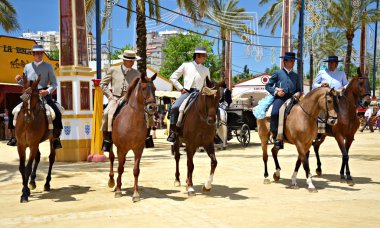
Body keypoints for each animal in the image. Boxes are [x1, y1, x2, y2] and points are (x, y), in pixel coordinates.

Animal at [15, 74, 55, 202]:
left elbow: (27, 168)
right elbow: (22, 168)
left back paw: (47, 183)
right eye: (23, 95)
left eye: (35, 96)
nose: (28, 117)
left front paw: (24, 193)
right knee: (37, 157)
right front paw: (26, 189)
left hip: (52, 139)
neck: (27, 124)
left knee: (51, 158)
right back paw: (32, 182)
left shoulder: (33, 144)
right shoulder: (21, 145)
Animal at [107, 72, 157, 201]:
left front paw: (135, 194)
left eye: (154, 88)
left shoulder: (138, 149)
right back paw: (112, 182)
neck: (132, 120)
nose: (152, 107)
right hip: (113, 145)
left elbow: (135, 170)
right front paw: (118, 191)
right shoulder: (121, 148)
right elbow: (120, 168)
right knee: (112, 158)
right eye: (143, 88)